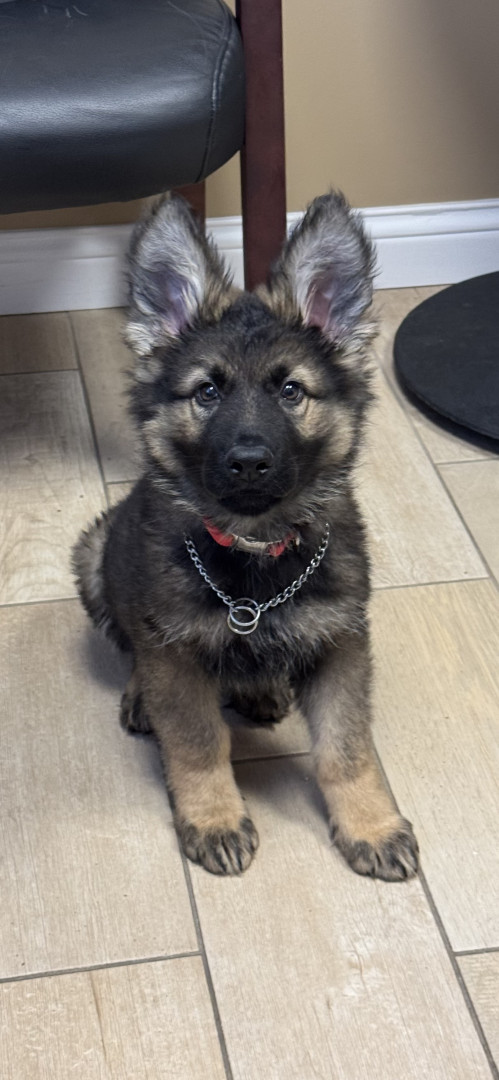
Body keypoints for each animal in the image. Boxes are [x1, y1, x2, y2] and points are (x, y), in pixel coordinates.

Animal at [73, 191, 419, 880]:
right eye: (207, 391)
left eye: (291, 391)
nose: (250, 462)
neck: (255, 557)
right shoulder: (176, 653)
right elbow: (199, 743)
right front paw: (213, 818)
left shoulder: (341, 643)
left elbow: (347, 749)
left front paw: (370, 825)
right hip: (96, 557)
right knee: (133, 649)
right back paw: (142, 697)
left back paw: (260, 688)